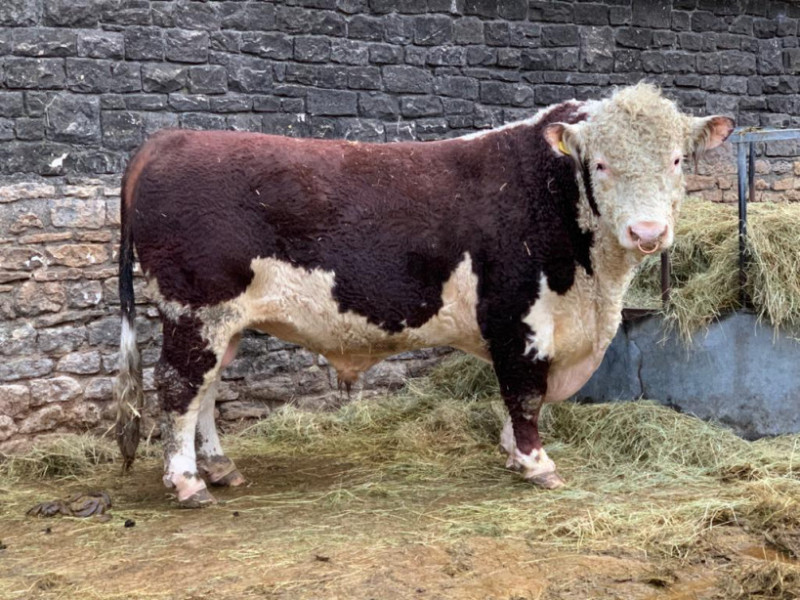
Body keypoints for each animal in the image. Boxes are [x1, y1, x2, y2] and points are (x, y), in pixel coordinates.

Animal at [114, 83, 733, 507]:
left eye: (677, 159)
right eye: (600, 164)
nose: (648, 232)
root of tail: (169, 138)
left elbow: (518, 398)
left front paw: (512, 453)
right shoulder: (518, 317)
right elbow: (525, 393)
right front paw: (535, 463)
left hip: (225, 321)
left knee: (206, 388)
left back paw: (220, 467)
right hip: (197, 311)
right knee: (179, 387)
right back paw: (188, 481)